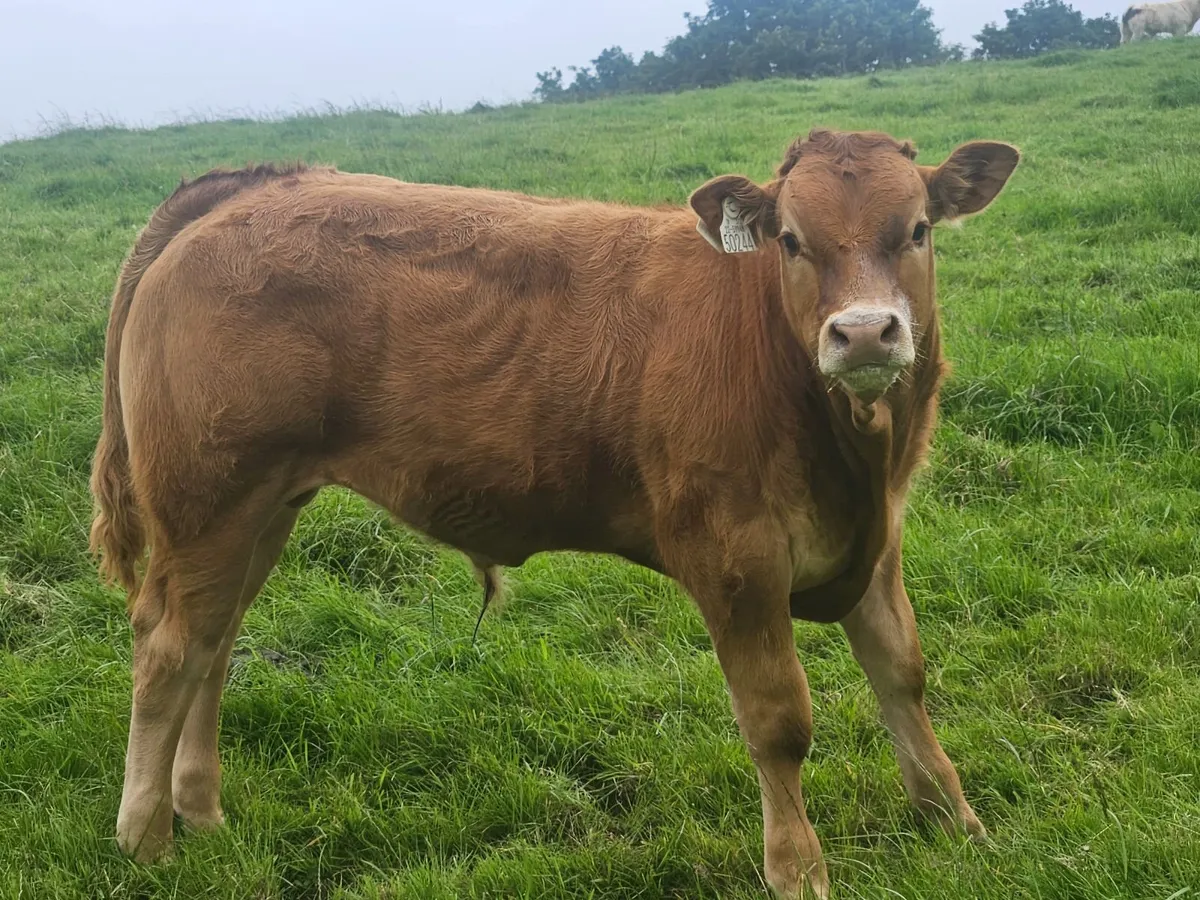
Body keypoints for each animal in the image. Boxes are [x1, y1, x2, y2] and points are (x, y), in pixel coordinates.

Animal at [89, 128, 1019, 897]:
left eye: (918, 229)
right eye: (792, 240)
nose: (863, 335)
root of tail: (251, 187)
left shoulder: (877, 541)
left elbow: (903, 674)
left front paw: (956, 821)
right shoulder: (737, 561)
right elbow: (779, 723)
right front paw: (798, 870)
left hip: (258, 509)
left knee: (212, 645)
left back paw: (200, 811)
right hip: (209, 503)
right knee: (169, 651)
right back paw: (144, 838)